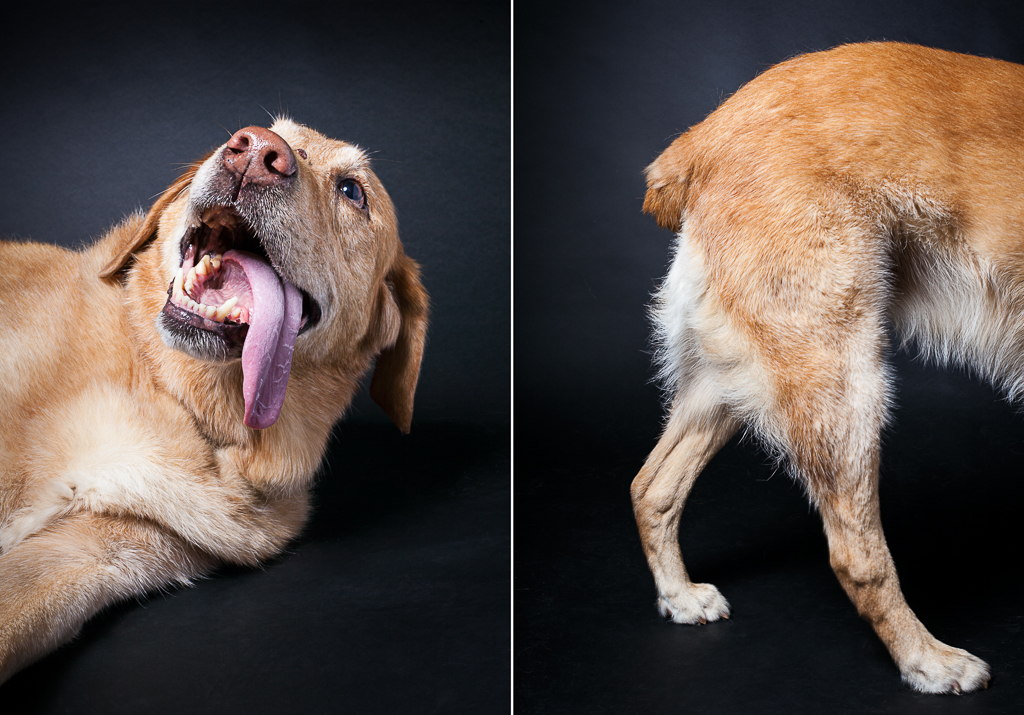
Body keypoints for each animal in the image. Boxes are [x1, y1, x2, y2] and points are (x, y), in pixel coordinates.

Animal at [622, 41, 1024, 692]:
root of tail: (702, 139)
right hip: (840, 374)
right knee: (856, 554)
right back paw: (927, 661)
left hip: (739, 374)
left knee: (652, 485)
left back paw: (678, 596)